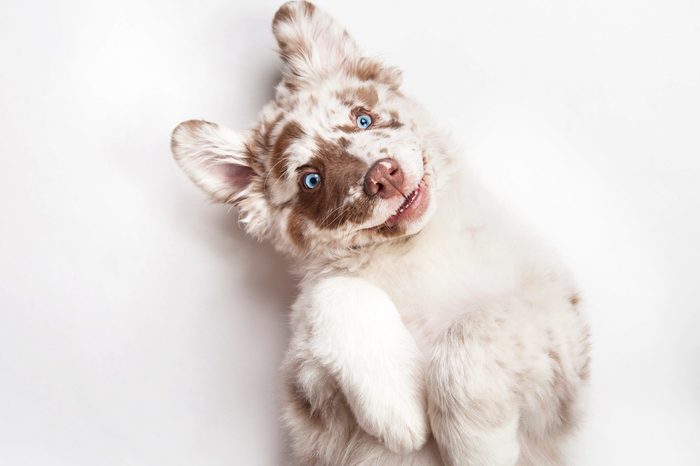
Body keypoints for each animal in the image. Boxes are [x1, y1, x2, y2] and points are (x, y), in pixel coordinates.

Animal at [171, 1, 592, 464]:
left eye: (363, 118)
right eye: (311, 180)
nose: (383, 175)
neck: (416, 249)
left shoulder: (561, 329)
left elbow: (472, 326)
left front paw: (475, 445)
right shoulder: (309, 398)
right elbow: (331, 291)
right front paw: (399, 410)